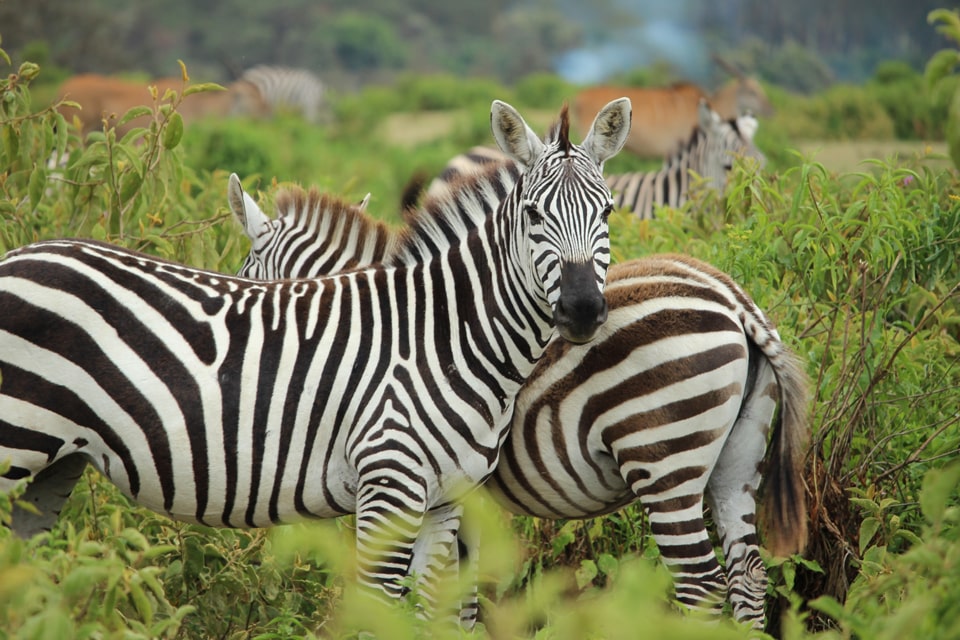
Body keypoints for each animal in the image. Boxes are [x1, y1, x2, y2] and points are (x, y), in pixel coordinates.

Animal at [0, 97, 632, 612]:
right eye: (533, 216)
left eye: (606, 213)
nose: (581, 310)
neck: (444, 336)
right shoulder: (388, 488)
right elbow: (380, 612)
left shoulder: (446, 503)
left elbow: (434, 613)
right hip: (17, 443)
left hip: (53, 465)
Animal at [231, 161, 808, 632]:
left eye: (244, 271)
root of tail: (734, 300)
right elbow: (462, 600)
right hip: (738, 459)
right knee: (748, 576)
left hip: (665, 459)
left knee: (701, 587)